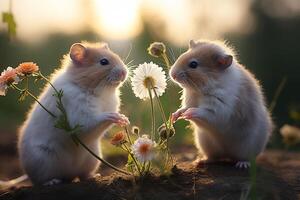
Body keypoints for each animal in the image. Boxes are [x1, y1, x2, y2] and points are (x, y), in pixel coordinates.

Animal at [17, 41, 128, 185]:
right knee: (40, 180)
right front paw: (115, 117)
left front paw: (124, 119)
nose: (124, 72)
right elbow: (94, 120)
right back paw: (52, 182)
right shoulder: (80, 117)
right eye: (103, 62)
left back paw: (93, 176)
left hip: (91, 159)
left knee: (82, 175)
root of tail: (68, 175)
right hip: (42, 161)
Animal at [170, 39, 274, 169]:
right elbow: (183, 108)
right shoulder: (190, 102)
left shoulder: (220, 110)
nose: (172, 75)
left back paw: (242, 165)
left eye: (193, 64)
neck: (199, 90)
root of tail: (228, 155)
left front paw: (189, 113)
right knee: (214, 157)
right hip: (208, 146)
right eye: (182, 55)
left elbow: (202, 112)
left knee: (245, 158)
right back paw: (200, 161)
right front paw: (174, 116)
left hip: (247, 148)